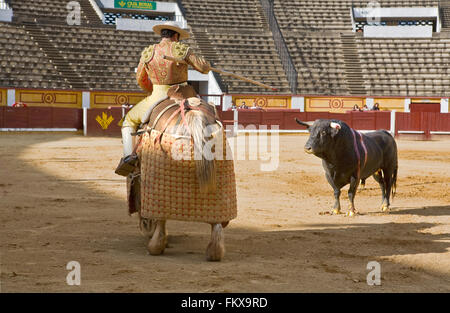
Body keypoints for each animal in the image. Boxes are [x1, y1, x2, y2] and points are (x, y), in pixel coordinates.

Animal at [127, 83, 236, 260]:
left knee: (162, 216)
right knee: (217, 221)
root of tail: (194, 113)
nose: (145, 226)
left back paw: (155, 246)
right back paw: (214, 251)